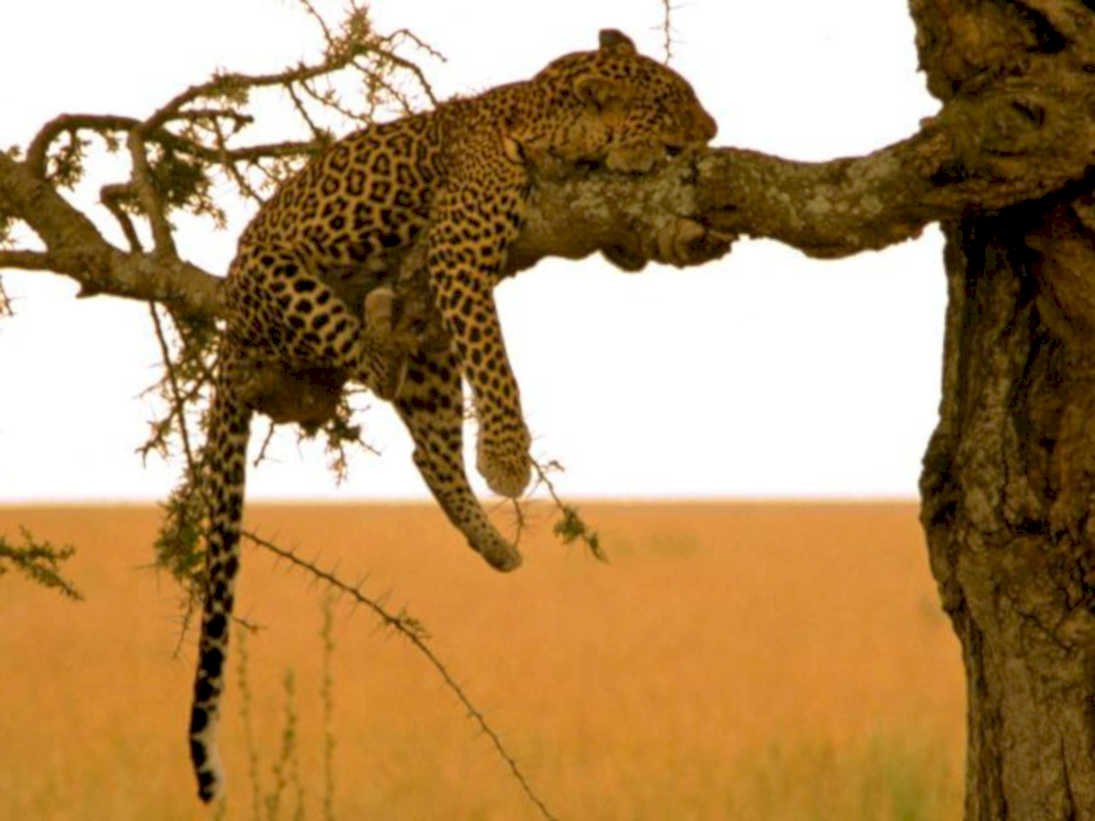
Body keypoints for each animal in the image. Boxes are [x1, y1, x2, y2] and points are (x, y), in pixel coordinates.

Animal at [188, 28, 717, 802]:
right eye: (673, 101)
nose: (713, 131)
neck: (538, 111)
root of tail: (227, 315)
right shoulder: (458, 253)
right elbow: (496, 360)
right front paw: (508, 455)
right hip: (286, 281)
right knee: (371, 361)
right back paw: (380, 327)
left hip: (434, 354)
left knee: (428, 449)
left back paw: (491, 544)